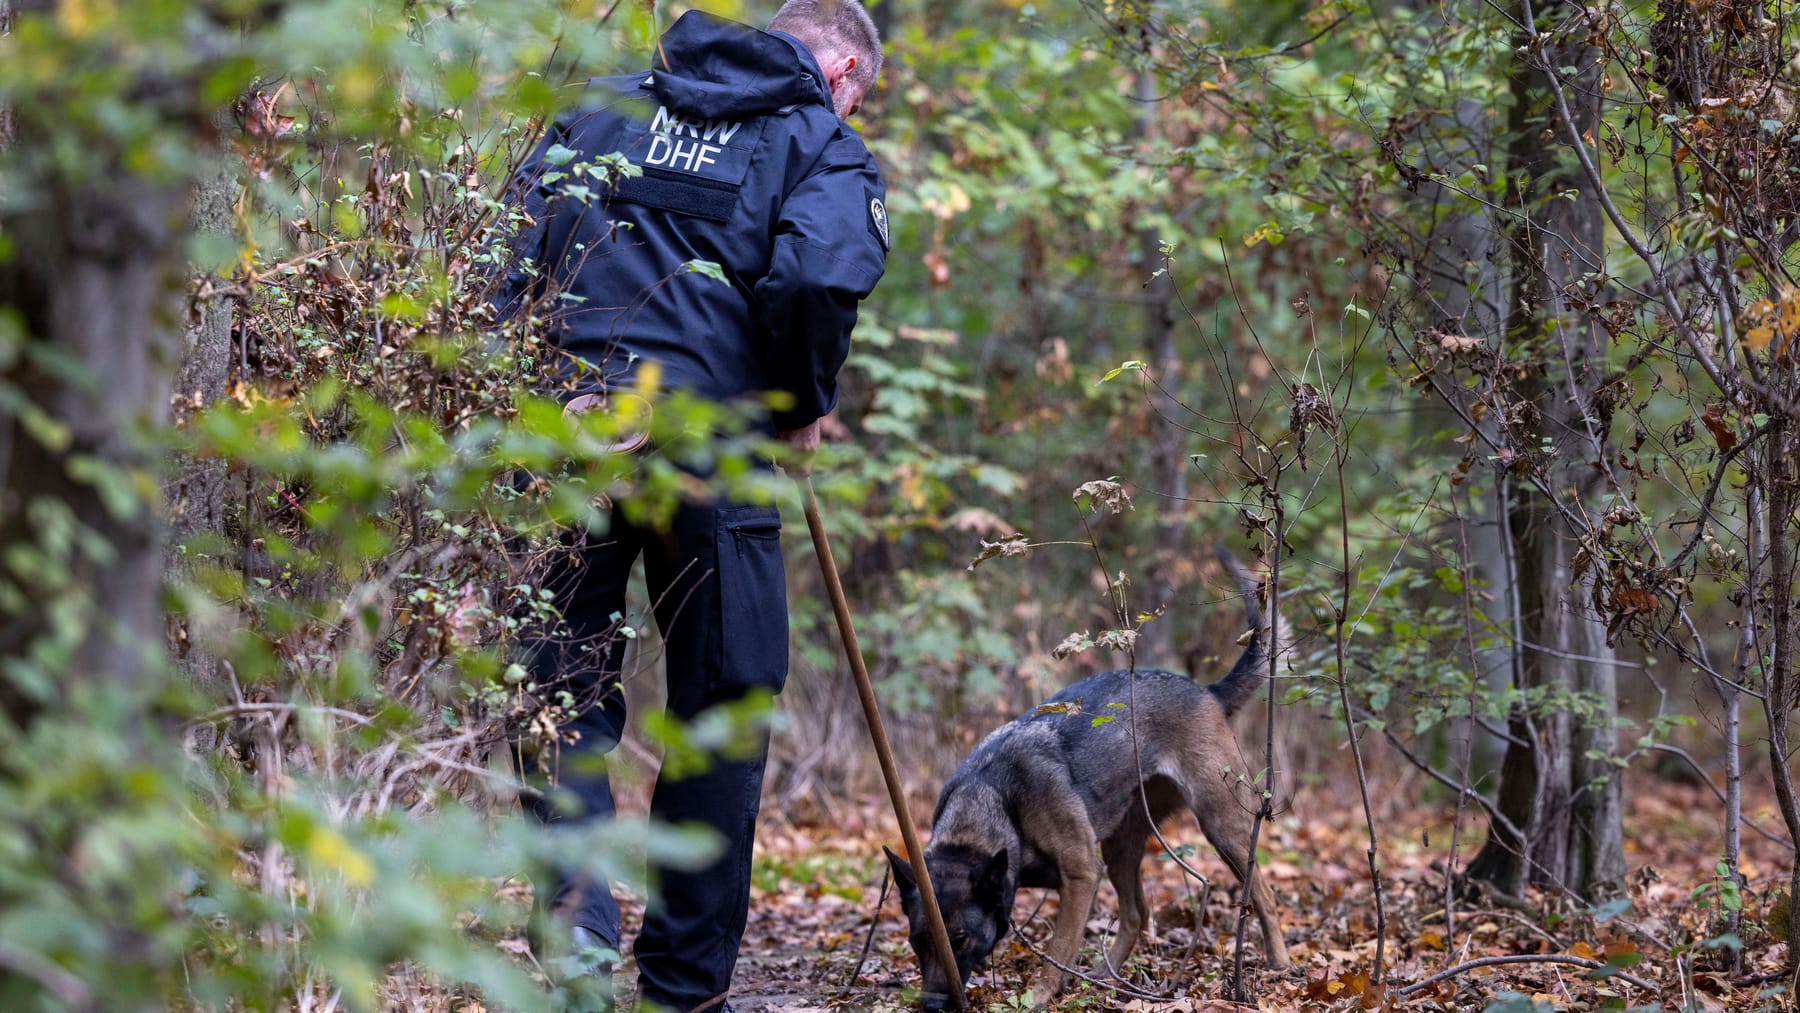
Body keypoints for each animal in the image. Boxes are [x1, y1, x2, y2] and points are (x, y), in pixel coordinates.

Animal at [889, 557, 1296, 1007]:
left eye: (959, 939)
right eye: (917, 942)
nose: (930, 1004)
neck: (993, 799)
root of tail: (1206, 692)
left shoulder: (1082, 876)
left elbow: (1058, 951)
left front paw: (1039, 996)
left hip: (1221, 825)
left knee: (1264, 894)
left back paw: (1280, 964)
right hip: (1120, 847)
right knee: (1137, 914)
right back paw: (1106, 977)